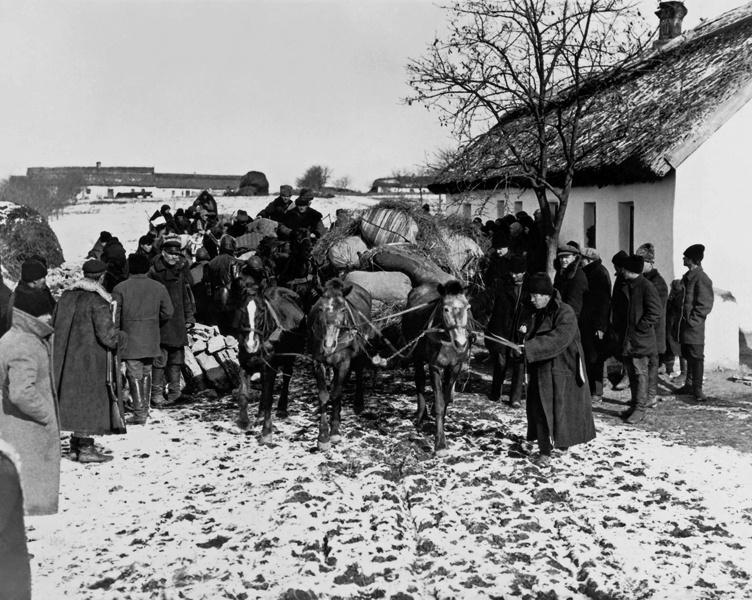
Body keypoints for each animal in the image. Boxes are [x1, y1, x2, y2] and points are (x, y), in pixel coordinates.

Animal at [235, 272, 306, 440]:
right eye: (242, 310)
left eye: (262, 311)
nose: (251, 344)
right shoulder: (246, 365)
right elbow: (243, 394)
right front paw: (244, 422)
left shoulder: (270, 368)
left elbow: (268, 397)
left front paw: (267, 431)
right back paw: (260, 415)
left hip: (289, 357)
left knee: (287, 376)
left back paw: (282, 409)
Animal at [308, 278, 374, 452]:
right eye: (321, 308)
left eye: (343, 309)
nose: (329, 345)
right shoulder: (317, 362)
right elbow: (324, 395)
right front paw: (323, 436)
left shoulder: (344, 362)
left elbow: (337, 393)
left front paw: (335, 430)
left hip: (360, 351)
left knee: (358, 371)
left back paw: (358, 403)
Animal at [402, 282, 472, 454]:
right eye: (445, 308)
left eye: (468, 307)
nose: (461, 343)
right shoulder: (435, 367)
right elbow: (440, 403)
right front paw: (440, 443)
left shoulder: (455, 367)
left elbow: (445, 400)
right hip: (417, 356)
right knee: (420, 381)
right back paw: (421, 415)